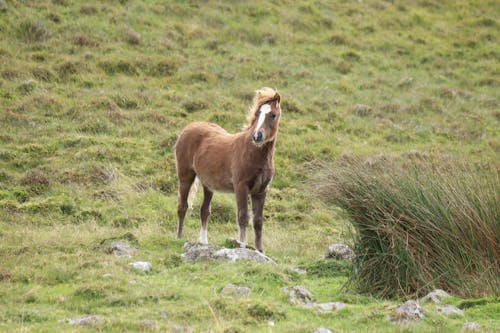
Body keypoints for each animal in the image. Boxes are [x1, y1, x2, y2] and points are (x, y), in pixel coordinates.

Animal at [174, 87, 282, 250]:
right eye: (257, 113)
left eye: (273, 115)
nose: (257, 136)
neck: (254, 153)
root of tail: (188, 128)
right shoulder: (241, 187)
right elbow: (243, 217)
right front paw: (242, 246)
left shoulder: (261, 191)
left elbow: (258, 221)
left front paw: (260, 250)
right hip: (185, 176)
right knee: (183, 206)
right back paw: (179, 237)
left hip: (208, 184)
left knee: (204, 211)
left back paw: (203, 241)